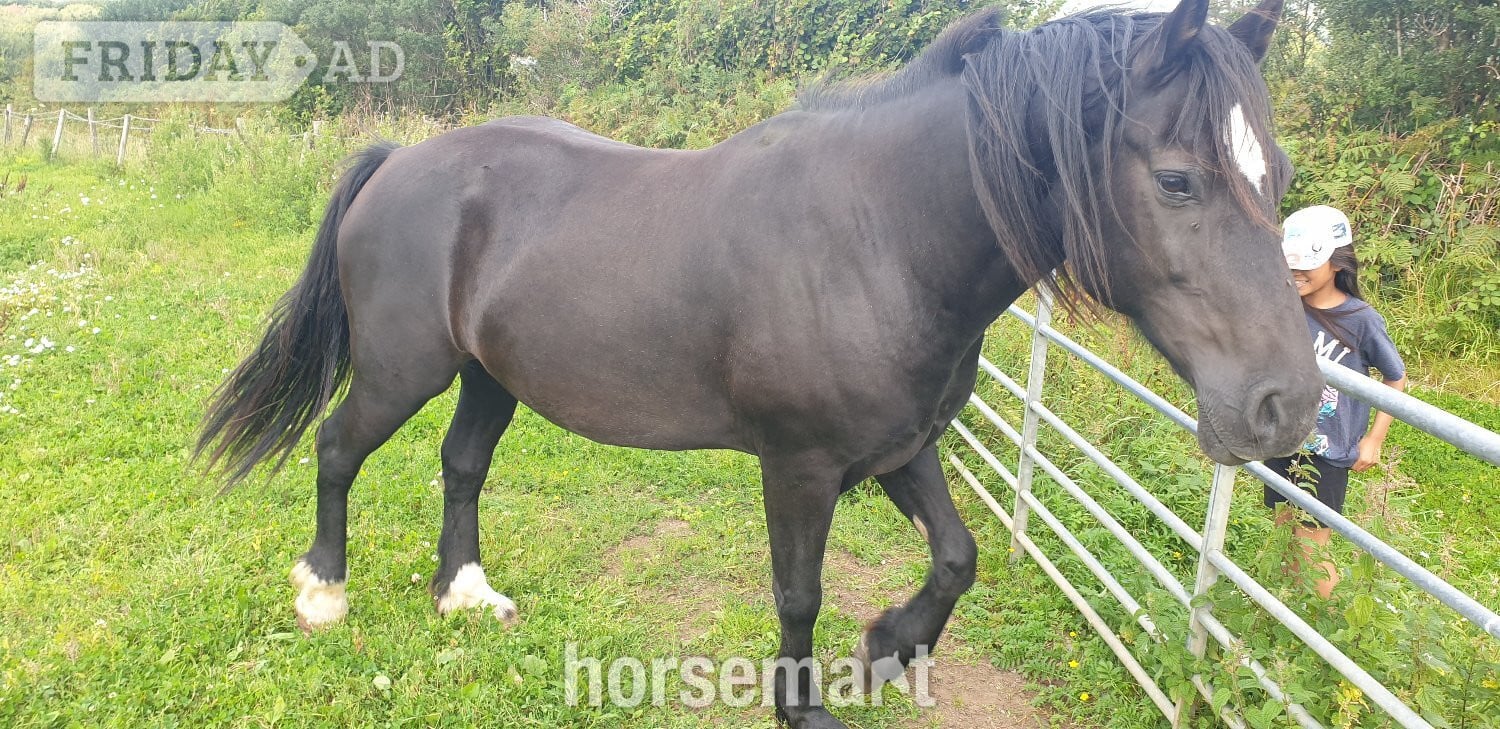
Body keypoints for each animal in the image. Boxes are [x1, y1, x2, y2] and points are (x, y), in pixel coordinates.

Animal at [198, 1, 1317, 726]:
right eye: (1176, 179)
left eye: (1279, 174)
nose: (1286, 407)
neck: (878, 236)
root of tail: (402, 160)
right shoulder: (802, 466)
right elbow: (798, 593)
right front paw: (805, 705)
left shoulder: (900, 446)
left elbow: (957, 557)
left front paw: (886, 649)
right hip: (402, 369)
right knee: (338, 450)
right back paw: (323, 595)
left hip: (489, 376)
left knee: (462, 465)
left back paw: (465, 596)